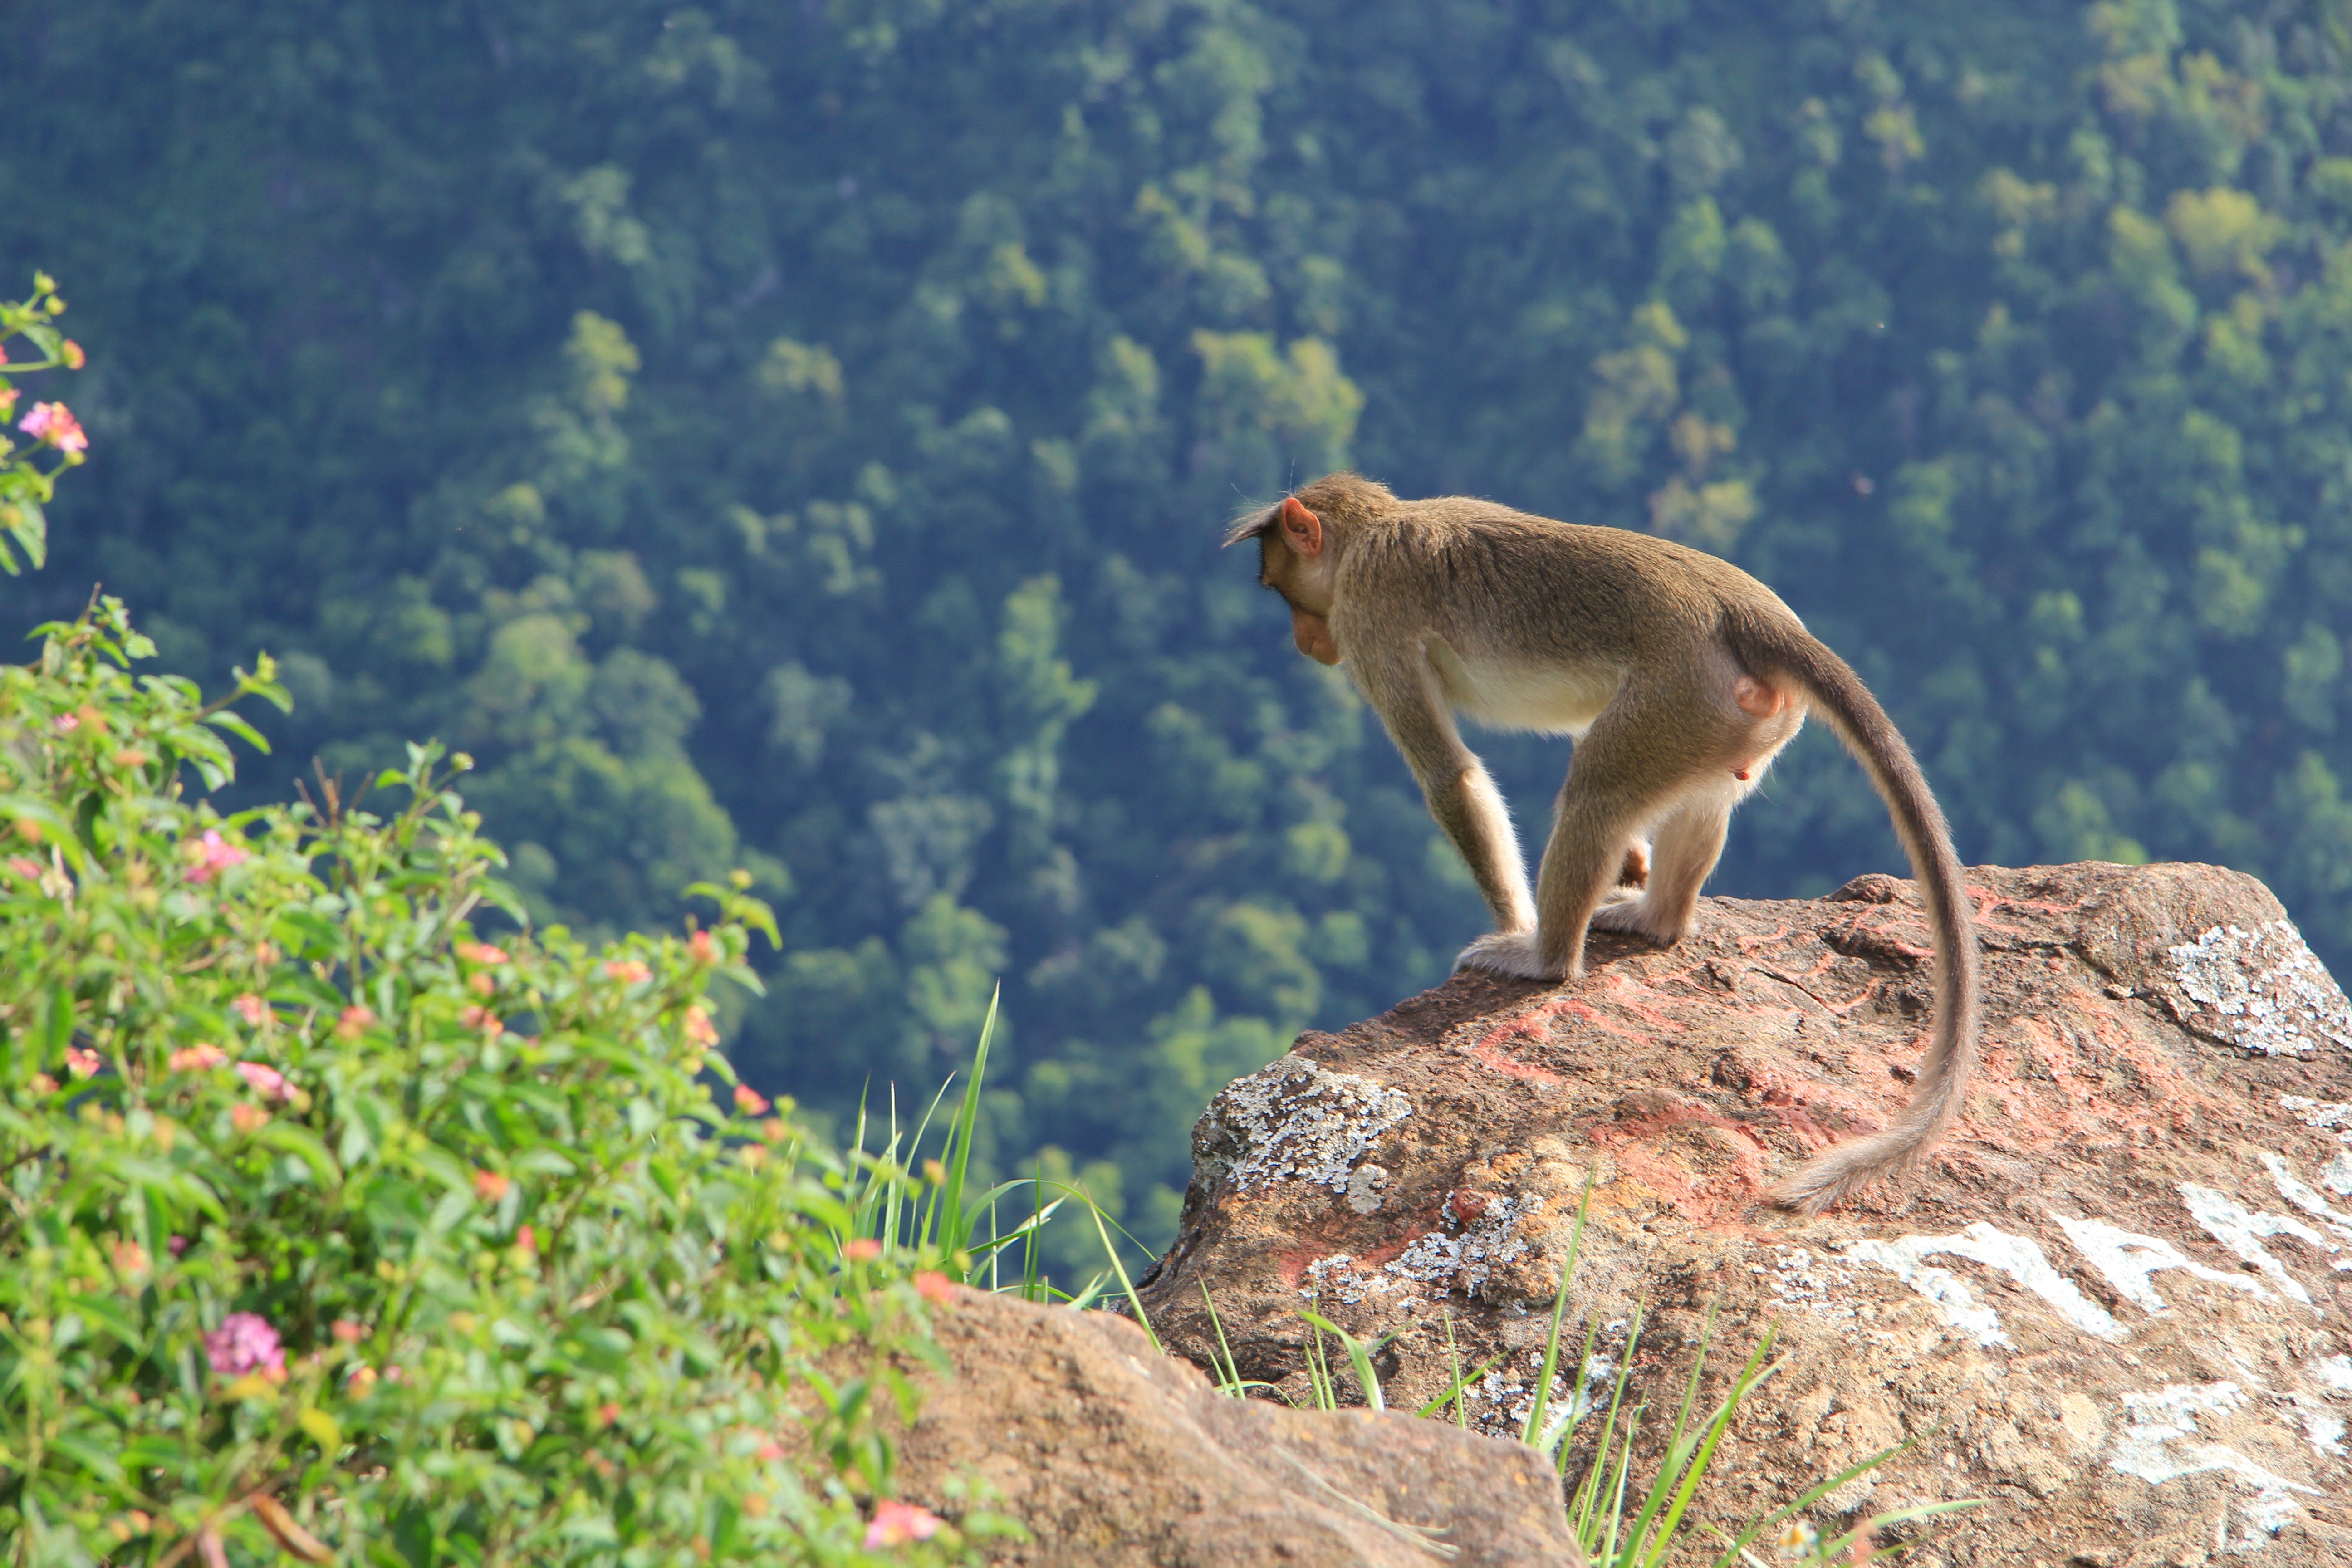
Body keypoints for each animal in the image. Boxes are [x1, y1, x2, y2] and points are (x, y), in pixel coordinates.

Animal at [1226, 473, 1978, 1216]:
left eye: (1279, 588)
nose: (1304, 641)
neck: (1378, 527)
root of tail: (1744, 612)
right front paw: (1633, 862)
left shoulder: (1368, 612)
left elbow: (1450, 777)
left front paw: (1517, 924)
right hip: (1727, 721)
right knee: (1696, 801)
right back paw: (1656, 918)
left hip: (1680, 697)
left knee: (1596, 791)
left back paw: (1545, 957)